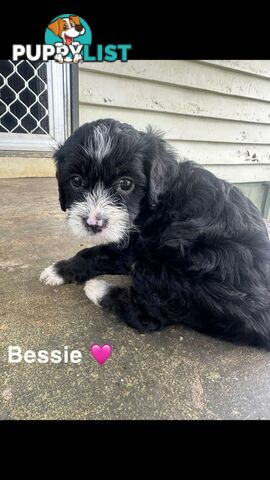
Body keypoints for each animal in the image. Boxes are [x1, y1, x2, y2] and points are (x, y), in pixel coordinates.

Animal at [39, 118, 270, 346]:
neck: (157, 198)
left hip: (166, 267)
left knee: (149, 317)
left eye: (126, 183)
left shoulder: (136, 245)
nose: (93, 224)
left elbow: (97, 252)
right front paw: (59, 271)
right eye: (76, 181)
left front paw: (60, 270)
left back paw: (98, 289)